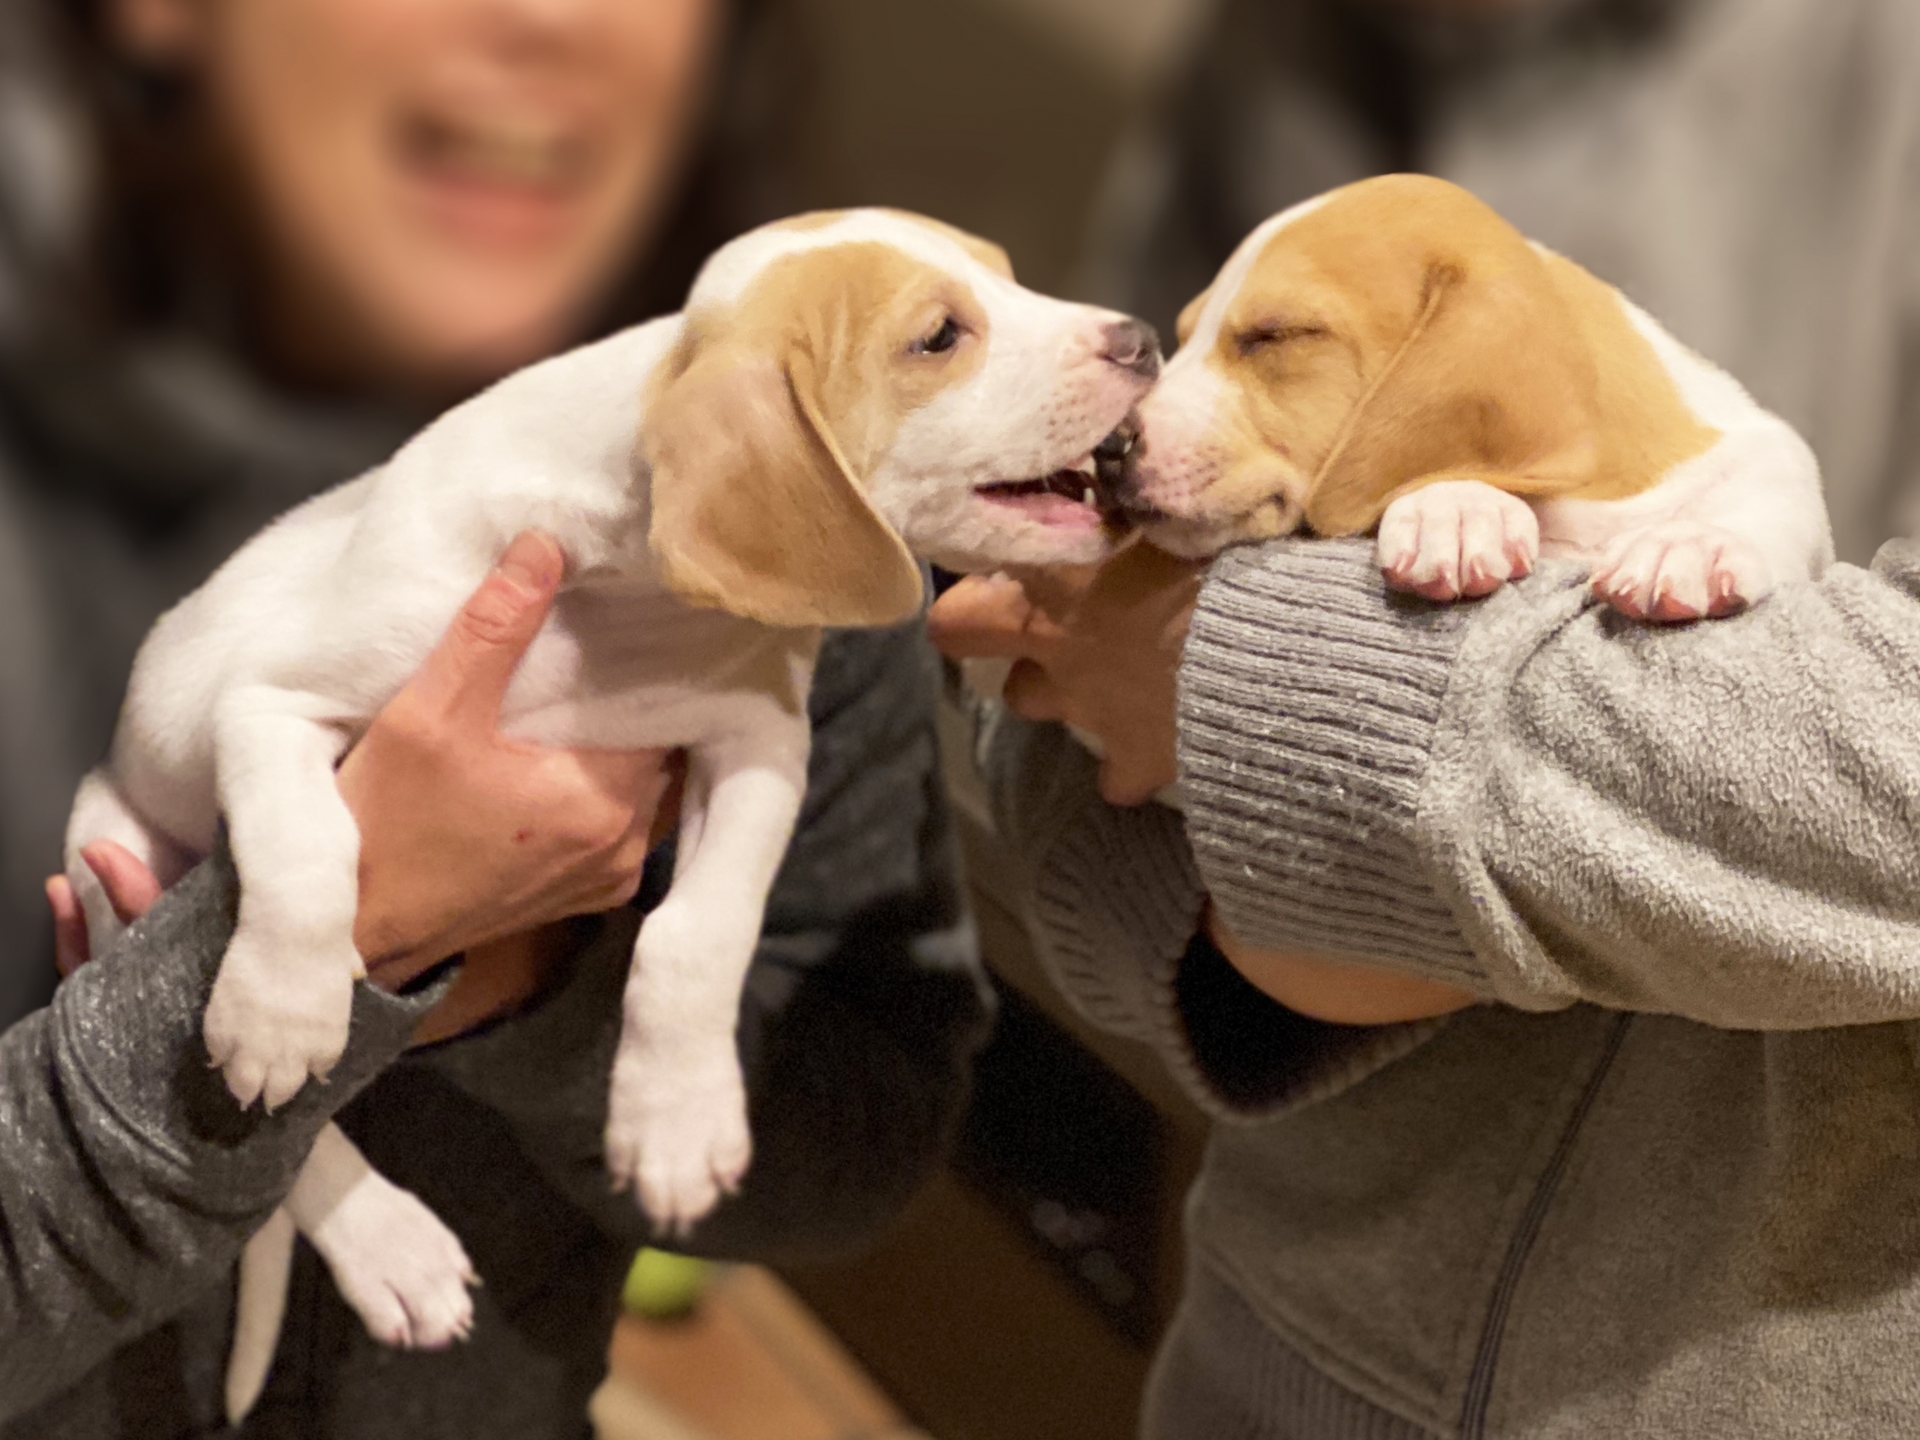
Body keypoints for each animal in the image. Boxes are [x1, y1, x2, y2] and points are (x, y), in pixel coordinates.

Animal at [67, 208, 1152, 1428]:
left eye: (1010, 279)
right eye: (939, 337)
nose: (1143, 338)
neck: (618, 597)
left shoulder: (761, 746)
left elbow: (699, 936)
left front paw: (675, 1121)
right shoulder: (267, 703)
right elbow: (311, 851)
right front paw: (280, 1010)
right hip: (108, 864)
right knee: (295, 1138)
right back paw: (387, 1240)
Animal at [1121, 173, 1827, 614]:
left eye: (1276, 334)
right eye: (1179, 339)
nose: (1107, 449)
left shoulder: (1776, 467)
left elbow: (1764, 504)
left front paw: (1691, 545)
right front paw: (1455, 509)